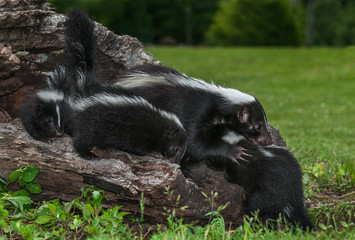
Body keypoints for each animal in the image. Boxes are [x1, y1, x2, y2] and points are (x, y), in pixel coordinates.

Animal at [63, 8, 188, 161]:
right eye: (176, 149)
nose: (176, 162)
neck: (160, 120)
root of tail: (86, 88)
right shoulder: (140, 130)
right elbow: (139, 146)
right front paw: (154, 153)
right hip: (93, 122)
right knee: (84, 138)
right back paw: (88, 154)